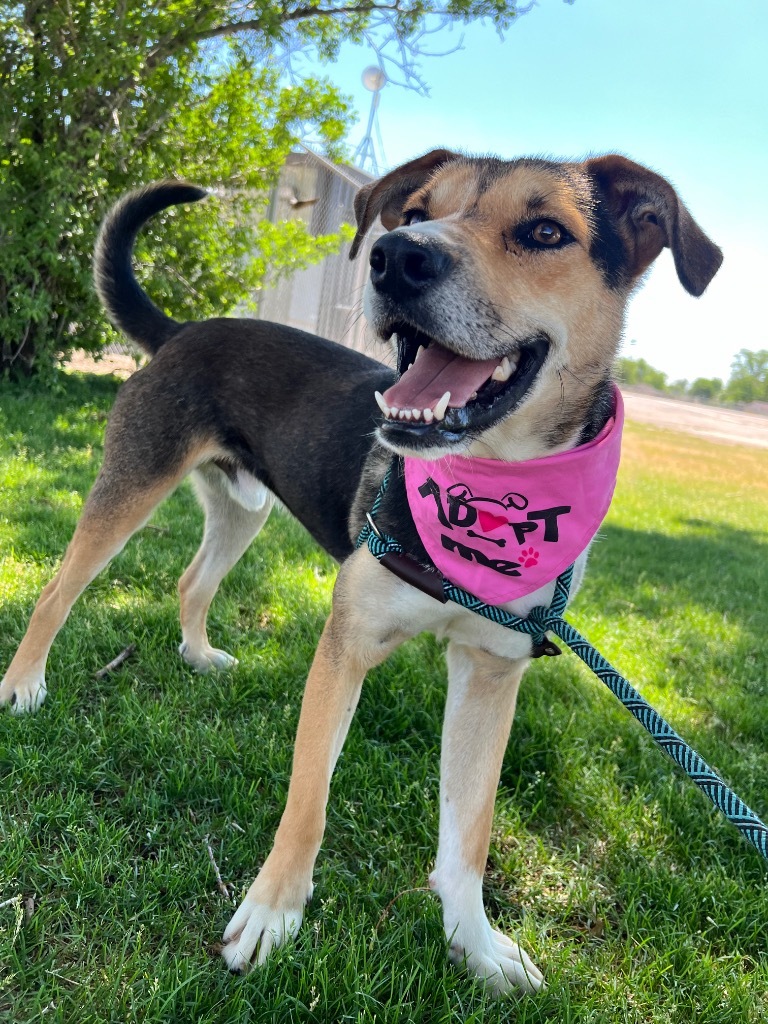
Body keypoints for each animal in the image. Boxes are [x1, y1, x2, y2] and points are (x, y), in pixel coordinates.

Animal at [0, 149, 724, 991]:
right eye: (414, 215)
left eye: (546, 232)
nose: (396, 258)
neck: (489, 484)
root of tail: (184, 330)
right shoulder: (347, 645)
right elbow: (308, 800)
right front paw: (272, 914)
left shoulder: (491, 669)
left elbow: (469, 833)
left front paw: (476, 943)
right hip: (134, 482)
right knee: (58, 589)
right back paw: (24, 683)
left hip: (242, 508)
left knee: (191, 580)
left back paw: (197, 653)